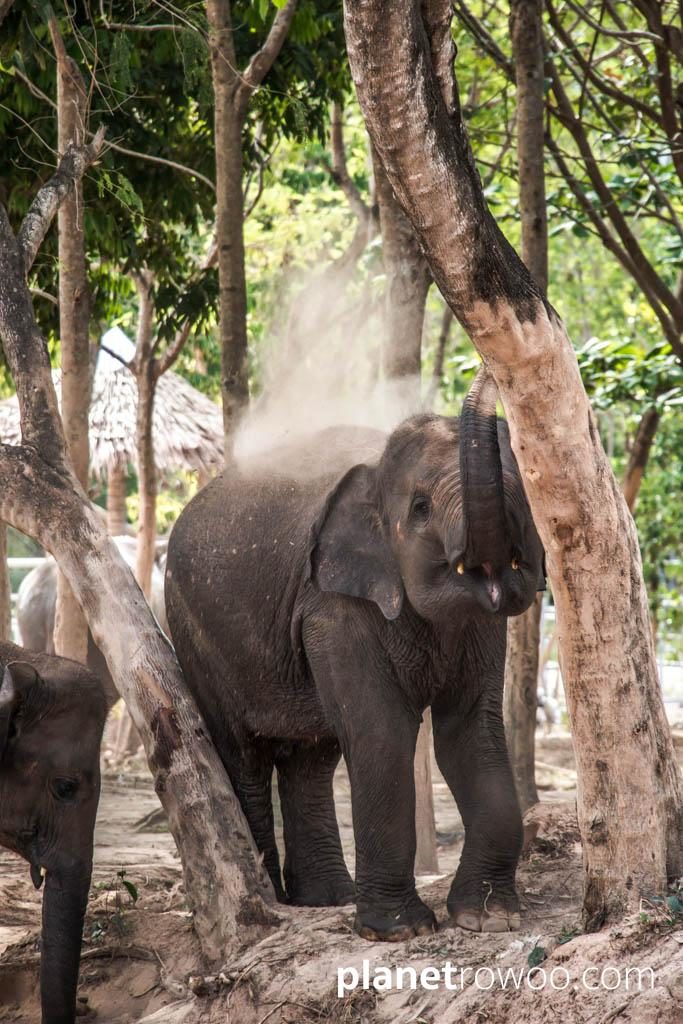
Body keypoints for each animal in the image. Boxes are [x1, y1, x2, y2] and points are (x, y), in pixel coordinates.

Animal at [165, 369, 545, 941]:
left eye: (523, 493)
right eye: (420, 508)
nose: (485, 369)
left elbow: (471, 732)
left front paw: (488, 919)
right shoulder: (332, 605)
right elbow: (381, 732)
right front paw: (399, 931)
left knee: (311, 759)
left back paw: (325, 900)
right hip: (193, 631)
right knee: (243, 755)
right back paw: (274, 901)